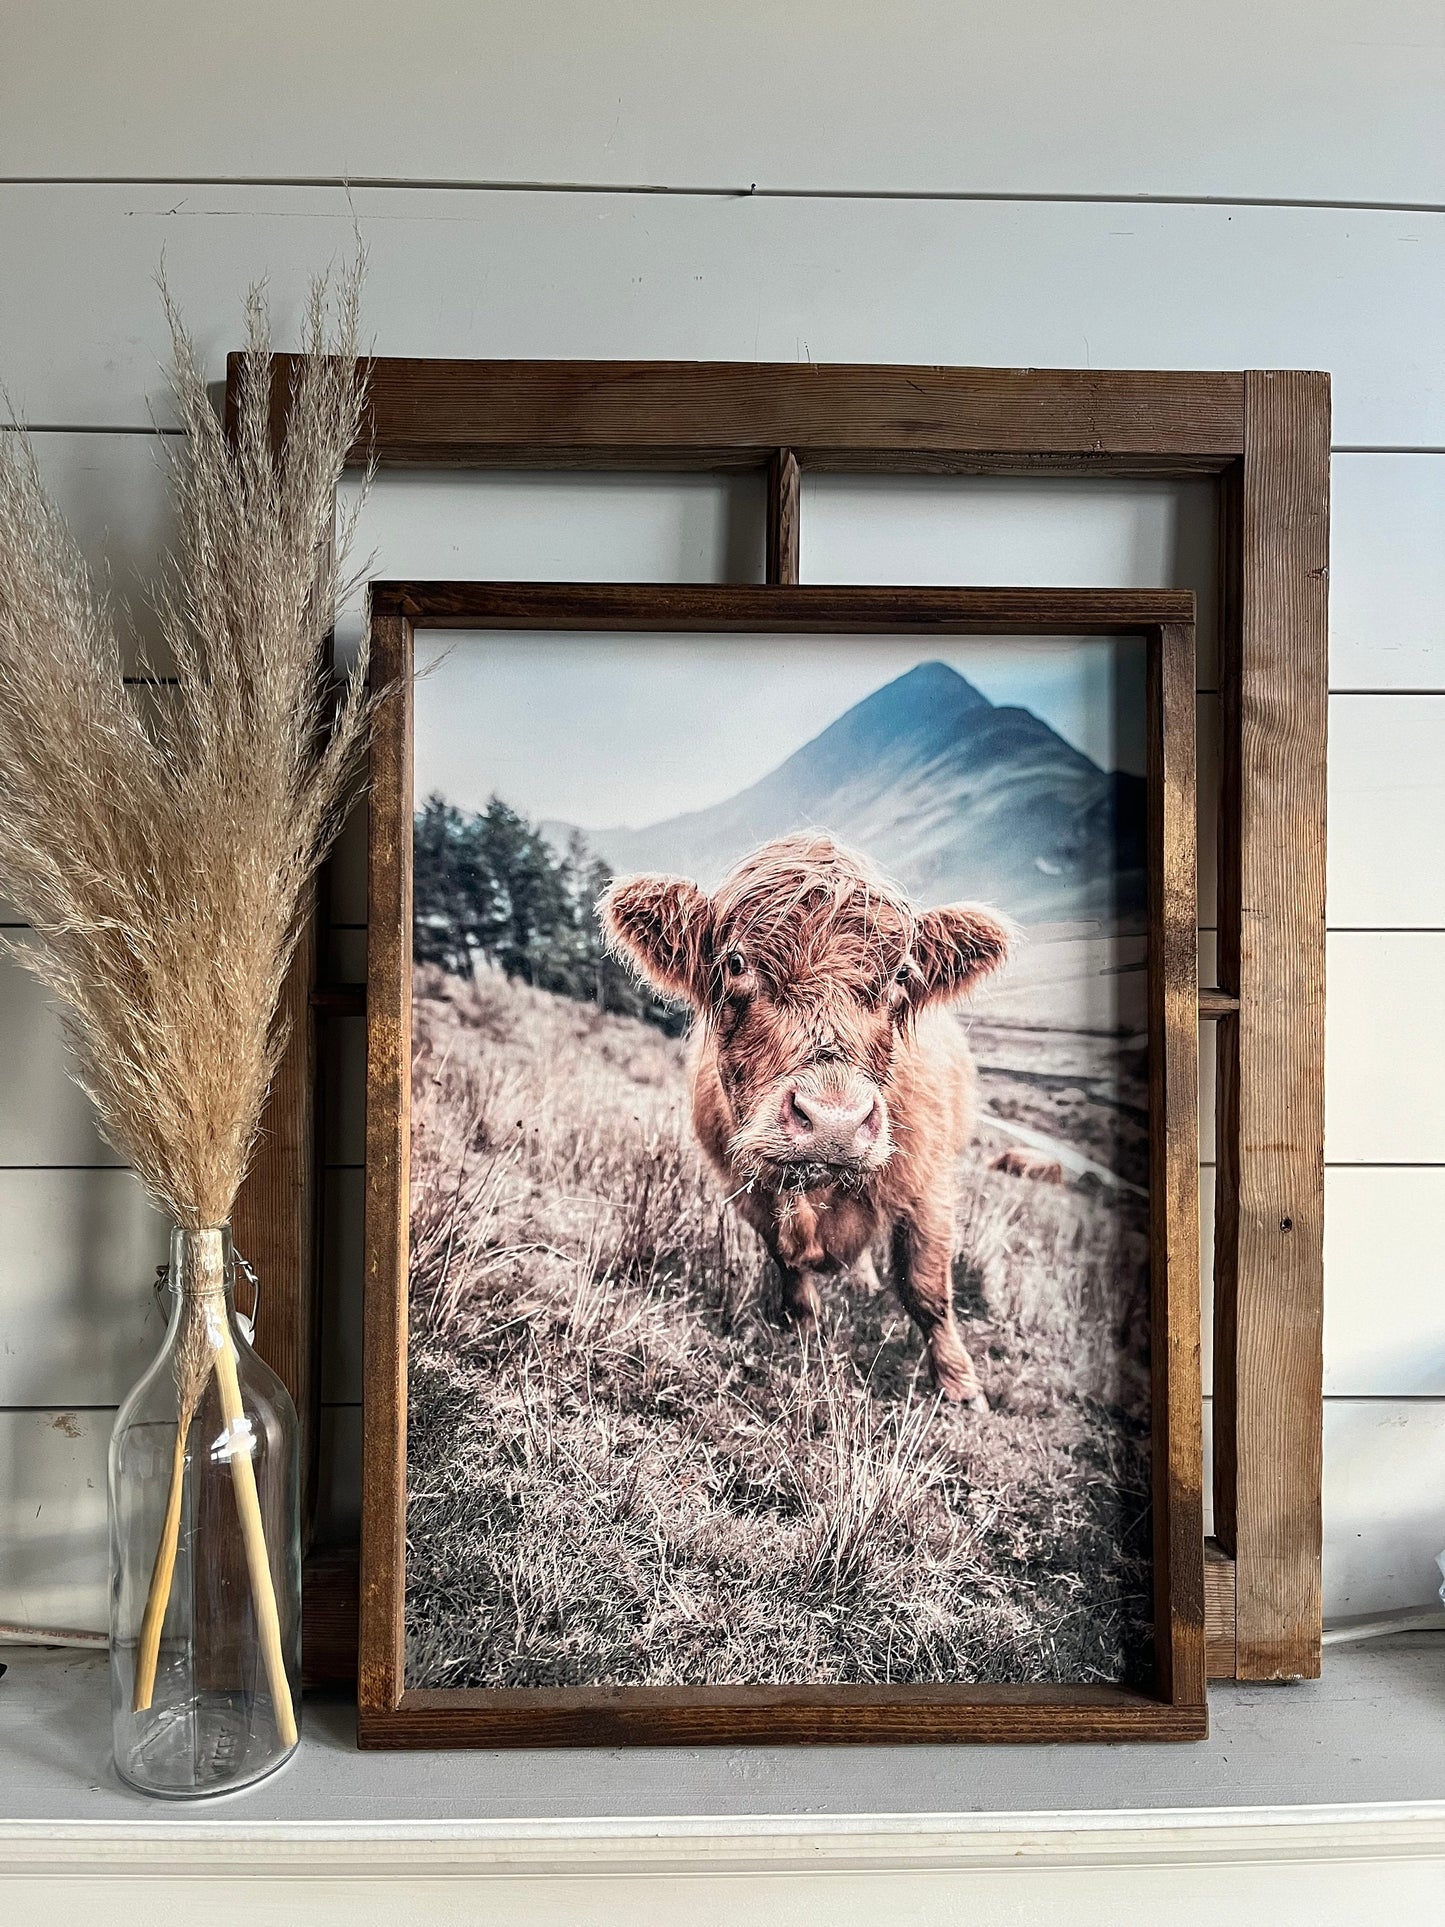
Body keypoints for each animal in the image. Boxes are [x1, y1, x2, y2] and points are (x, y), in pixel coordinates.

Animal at [601, 833, 1013, 1408]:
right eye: (735, 961)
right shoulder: (747, 1186)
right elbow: (786, 1261)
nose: (834, 1123)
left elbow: (927, 1288)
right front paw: (802, 1325)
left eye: (901, 975)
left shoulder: (927, 1185)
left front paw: (958, 1384)